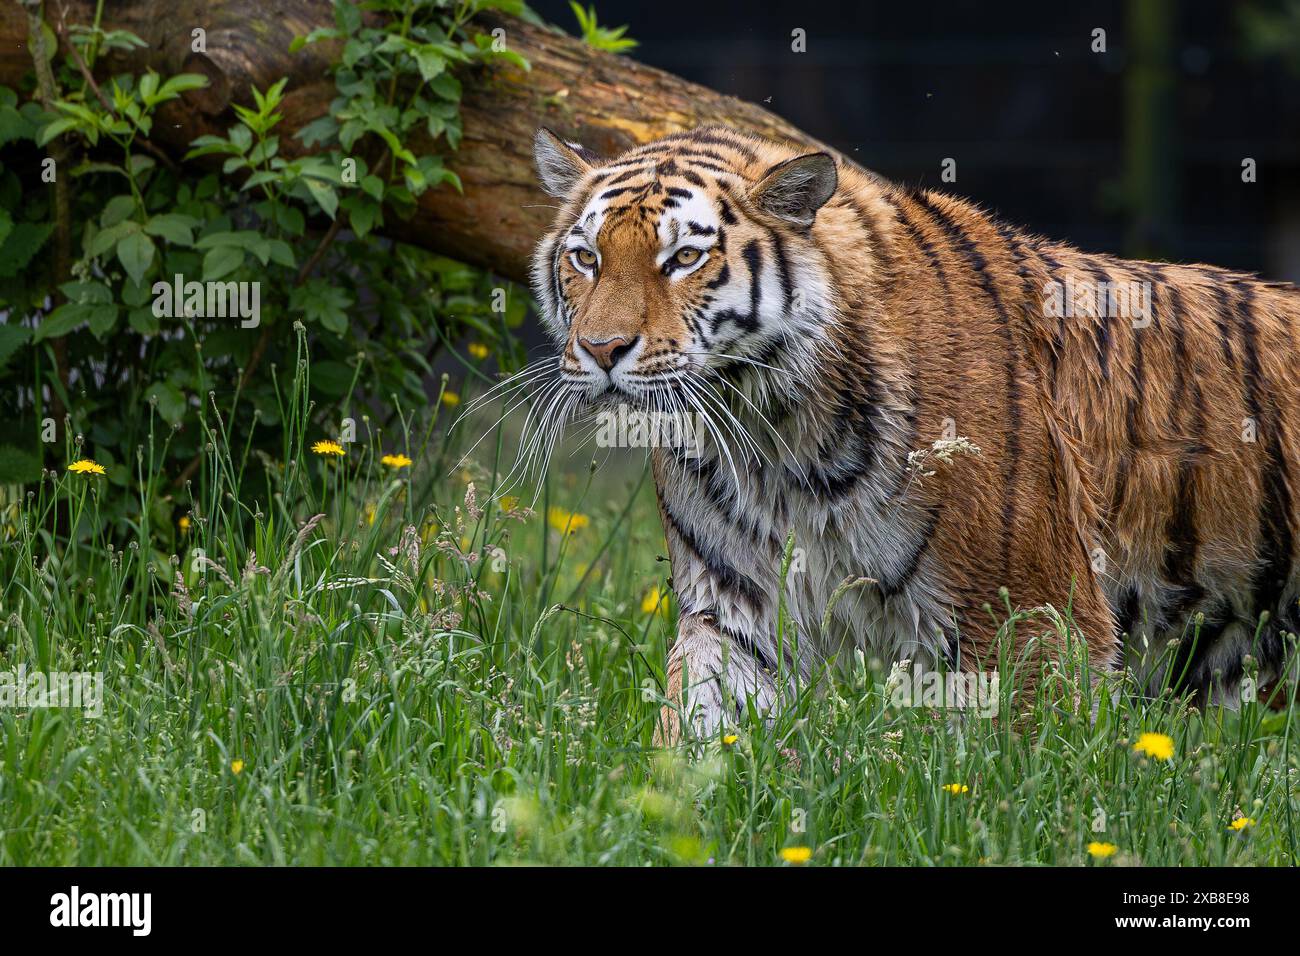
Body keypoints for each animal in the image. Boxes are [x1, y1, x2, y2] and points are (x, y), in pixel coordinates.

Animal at [522, 125, 1294, 738]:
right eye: (586, 257)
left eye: (683, 258)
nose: (601, 349)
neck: (770, 427)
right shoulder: (736, 607)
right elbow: (696, 730)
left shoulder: (1034, 611)